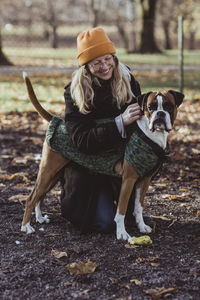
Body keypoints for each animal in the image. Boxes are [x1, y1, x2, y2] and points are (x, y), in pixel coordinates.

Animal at [21, 72, 184, 244]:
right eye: (150, 107)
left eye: (169, 106)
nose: (160, 114)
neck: (149, 135)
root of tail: (59, 120)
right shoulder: (128, 179)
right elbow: (121, 209)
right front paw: (122, 233)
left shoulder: (144, 180)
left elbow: (138, 207)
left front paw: (141, 226)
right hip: (48, 171)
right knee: (31, 198)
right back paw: (26, 227)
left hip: (53, 175)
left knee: (40, 196)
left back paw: (39, 218)